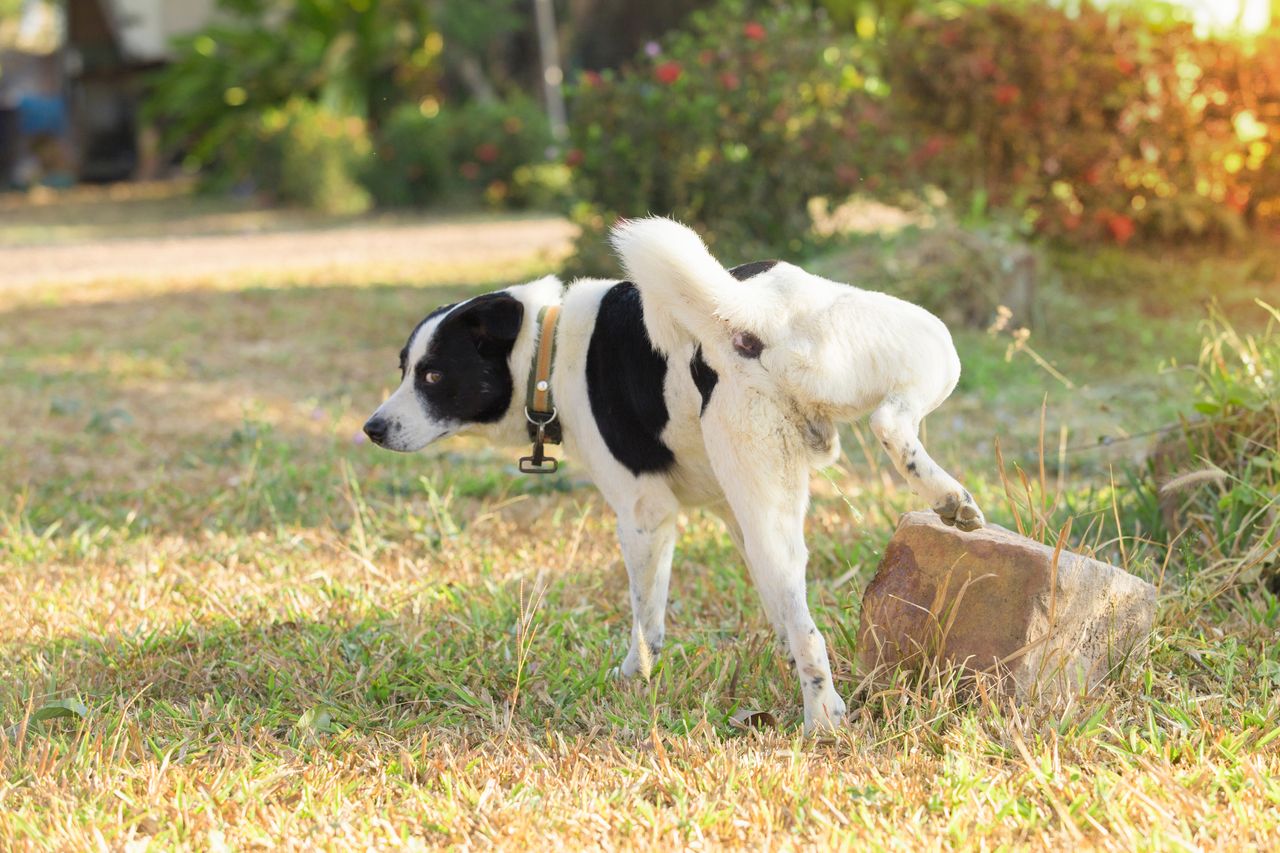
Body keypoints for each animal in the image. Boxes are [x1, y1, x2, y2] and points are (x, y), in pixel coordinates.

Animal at [366, 216, 983, 727]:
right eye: (404, 368)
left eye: (432, 376)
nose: (372, 429)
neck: (550, 349)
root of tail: (751, 314)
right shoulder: (732, 515)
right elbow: (778, 612)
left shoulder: (644, 516)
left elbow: (647, 620)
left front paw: (632, 679)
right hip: (909, 372)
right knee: (888, 424)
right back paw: (946, 499)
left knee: (810, 622)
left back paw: (821, 718)